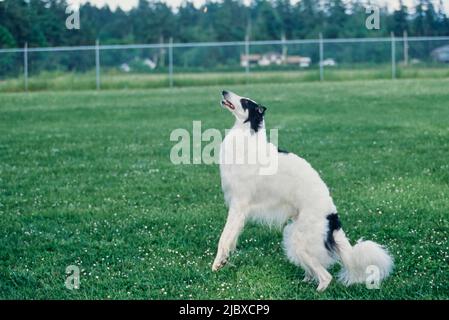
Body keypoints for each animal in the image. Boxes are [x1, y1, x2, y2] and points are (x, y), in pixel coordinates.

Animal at [214, 90, 392, 292]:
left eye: (244, 101)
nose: (224, 91)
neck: (248, 139)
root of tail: (333, 219)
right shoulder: (239, 210)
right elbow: (230, 239)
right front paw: (224, 261)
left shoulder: (239, 206)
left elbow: (223, 238)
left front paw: (217, 264)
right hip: (292, 235)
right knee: (314, 271)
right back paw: (305, 280)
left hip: (301, 242)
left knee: (326, 276)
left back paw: (317, 289)